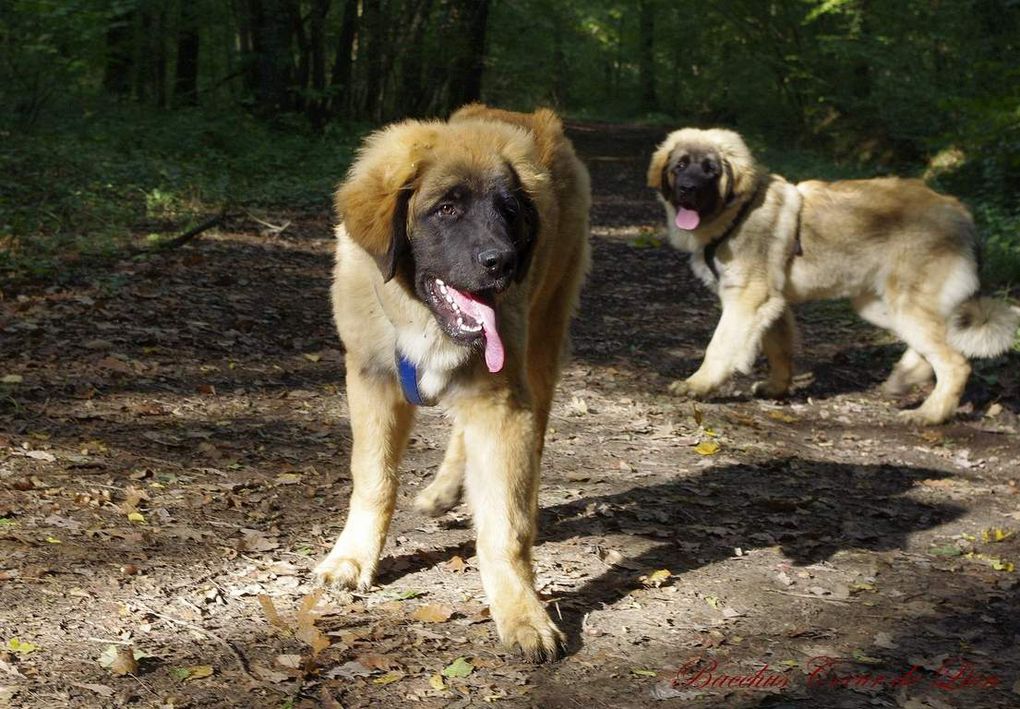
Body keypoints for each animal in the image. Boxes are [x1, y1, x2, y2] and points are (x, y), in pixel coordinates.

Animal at [316, 104, 591, 661]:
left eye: (510, 212)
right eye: (446, 210)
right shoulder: (373, 382)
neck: (421, 318)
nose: (503, 263)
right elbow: (374, 479)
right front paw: (352, 558)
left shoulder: (502, 401)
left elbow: (505, 524)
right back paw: (444, 489)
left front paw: (521, 612)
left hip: (540, 352)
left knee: (528, 445)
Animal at [648, 127, 1015, 424]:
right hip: (880, 306)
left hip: (907, 305)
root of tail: (961, 212)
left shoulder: (747, 299)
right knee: (936, 346)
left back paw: (930, 414)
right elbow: (778, 349)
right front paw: (777, 387)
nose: (688, 188)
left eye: (710, 170)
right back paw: (904, 378)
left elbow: (720, 345)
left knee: (955, 363)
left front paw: (698, 384)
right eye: (680, 166)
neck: (737, 212)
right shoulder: (773, 303)